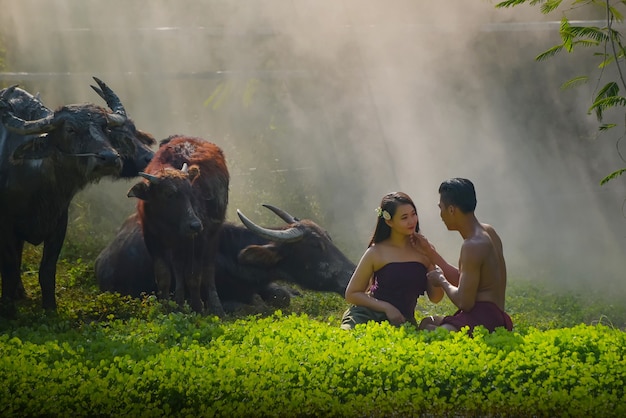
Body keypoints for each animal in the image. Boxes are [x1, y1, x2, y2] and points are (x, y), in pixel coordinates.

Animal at [0, 76, 155, 316]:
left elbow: (46, 271)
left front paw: (50, 309)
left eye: (104, 127)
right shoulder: (6, 226)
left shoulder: (59, 223)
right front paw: (9, 311)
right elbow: (8, 269)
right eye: (70, 129)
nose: (109, 158)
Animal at [127, 136, 227, 316]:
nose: (194, 225)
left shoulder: (199, 239)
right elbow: (163, 275)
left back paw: (216, 308)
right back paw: (179, 302)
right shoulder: (152, 239)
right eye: (168, 194)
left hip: (213, 235)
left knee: (208, 269)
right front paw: (166, 307)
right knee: (178, 266)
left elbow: (194, 276)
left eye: (191, 192)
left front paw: (197, 308)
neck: (169, 224)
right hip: (178, 245)